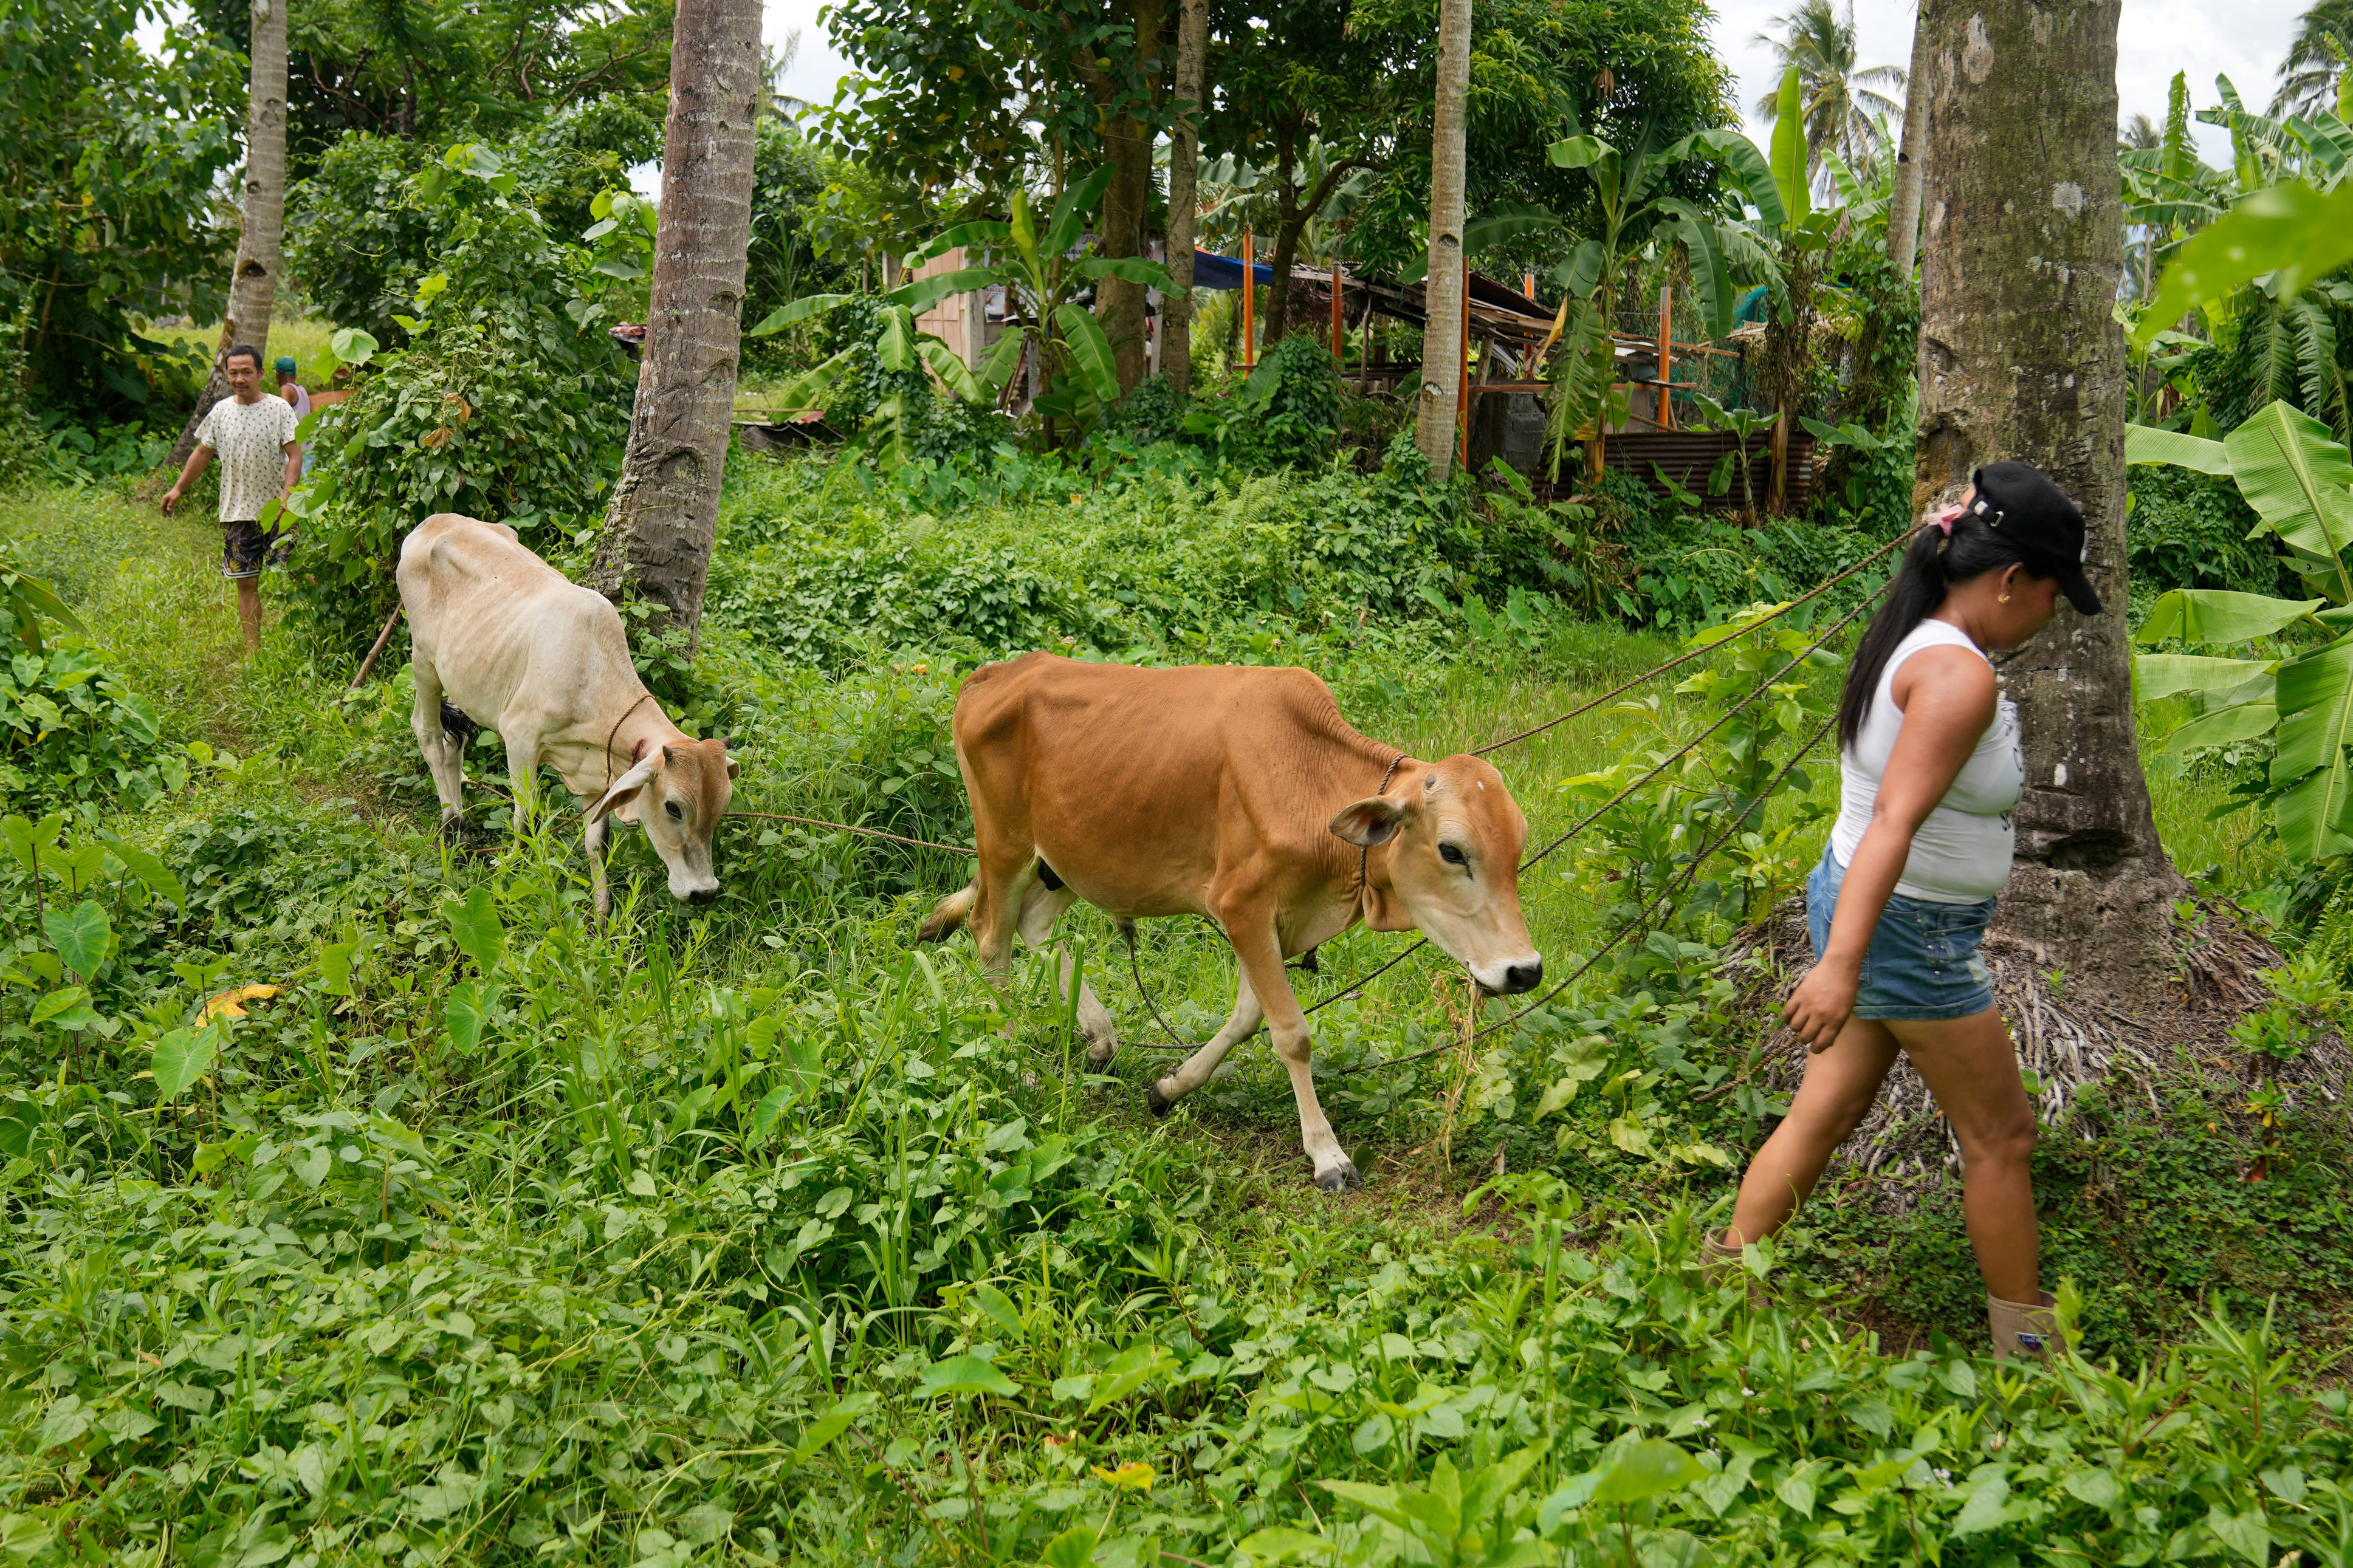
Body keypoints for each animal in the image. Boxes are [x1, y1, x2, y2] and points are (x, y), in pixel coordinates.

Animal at [397, 512, 734, 921]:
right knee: (428, 733)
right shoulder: (520, 740)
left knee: (455, 740)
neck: (591, 676)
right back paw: (454, 830)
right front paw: (513, 874)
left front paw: (603, 919)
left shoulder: (597, 778)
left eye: (722, 807)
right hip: (423, 662)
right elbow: (524, 820)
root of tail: (433, 522)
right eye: (673, 807)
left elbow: (597, 845)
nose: (705, 892)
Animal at [918, 653, 1544, 1190]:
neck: (1310, 784)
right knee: (991, 937)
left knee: (1034, 925)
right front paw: (1327, 1154)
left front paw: (1169, 1088)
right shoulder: (1242, 904)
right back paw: (1014, 1057)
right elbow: (1292, 1033)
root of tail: (999, 671)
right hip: (1003, 843)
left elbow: (1247, 1018)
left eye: (1518, 845)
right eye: (1452, 850)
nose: (1526, 970)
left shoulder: (1273, 921)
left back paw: (1099, 1035)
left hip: (1071, 857)